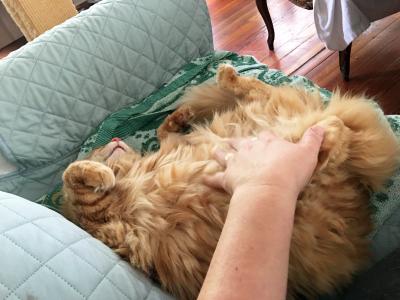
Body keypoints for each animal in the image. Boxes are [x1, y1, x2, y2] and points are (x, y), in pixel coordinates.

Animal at [61, 64, 398, 298]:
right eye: (99, 147)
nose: (116, 138)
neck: (130, 172)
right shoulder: (106, 225)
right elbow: (73, 178)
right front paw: (100, 174)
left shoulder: (169, 147)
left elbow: (160, 131)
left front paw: (180, 115)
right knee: (327, 131)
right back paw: (324, 136)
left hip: (263, 110)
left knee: (264, 90)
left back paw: (229, 78)